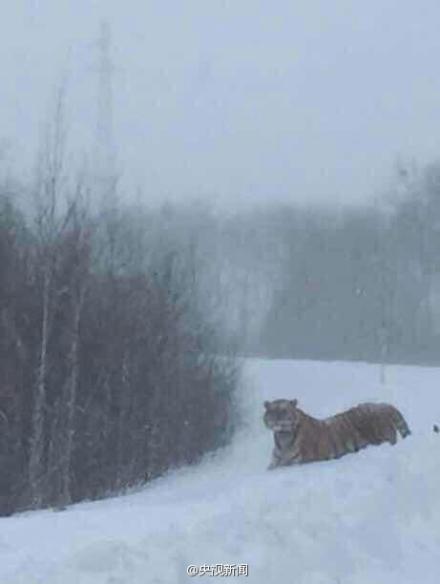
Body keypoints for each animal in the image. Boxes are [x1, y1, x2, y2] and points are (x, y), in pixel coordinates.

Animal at [262, 396, 410, 470]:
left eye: (283, 410)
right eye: (272, 411)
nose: (276, 419)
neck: (282, 437)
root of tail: (383, 405)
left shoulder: (297, 463)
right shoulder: (275, 462)